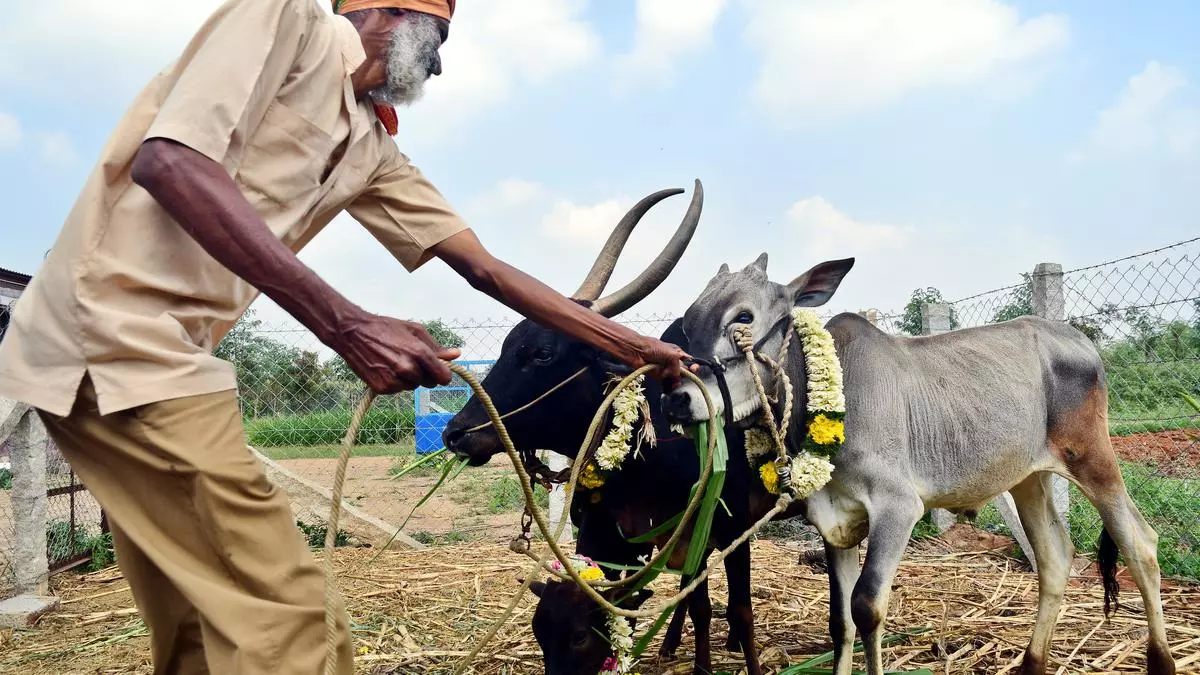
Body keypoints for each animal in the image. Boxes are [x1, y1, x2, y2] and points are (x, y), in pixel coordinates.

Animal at [657, 252, 1171, 672]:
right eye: (689, 321)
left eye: (742, 317)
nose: (677, 399)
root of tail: (1078, 339)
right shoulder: (834, 521)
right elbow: (840, 622)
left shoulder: (898, 508)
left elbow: (866, 608)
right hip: (1028, 478)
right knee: (1055, 557)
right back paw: (1032, 663)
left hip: (1093, 458)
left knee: (1141, 544)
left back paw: (1161, 661)